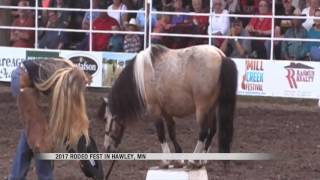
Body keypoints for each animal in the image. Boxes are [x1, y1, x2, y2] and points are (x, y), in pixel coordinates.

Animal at [98, 44, 238, 167]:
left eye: (105, 119)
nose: (106, 147)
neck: (142, 73)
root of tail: (220, 55)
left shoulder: (154, 108)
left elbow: (160, 132)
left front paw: (166, 161)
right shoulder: (166, 110)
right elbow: (171, 132)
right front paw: (179, 158)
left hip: (202, 109)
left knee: (204, 132)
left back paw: (193, 160)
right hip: (212, 108)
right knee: (212, 131)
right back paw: (202, 159)